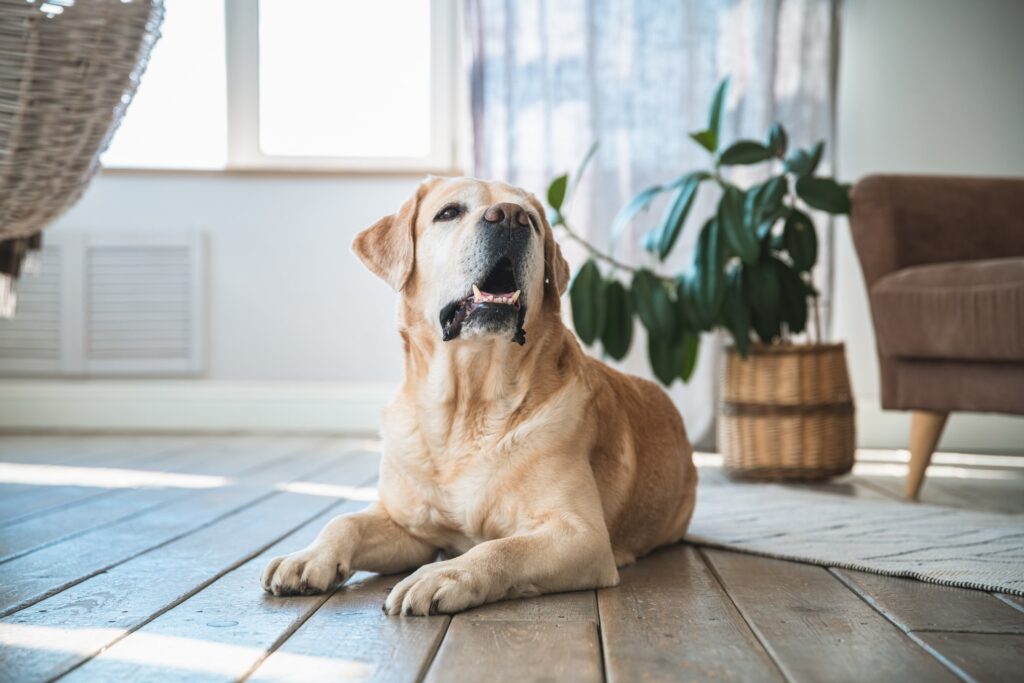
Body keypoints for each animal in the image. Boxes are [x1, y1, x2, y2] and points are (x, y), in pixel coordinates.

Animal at [260, 176, 700, 614]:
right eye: (449, 212)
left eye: (533, 221)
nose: (510, 216)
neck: (467, 403)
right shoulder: (410, 529)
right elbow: (344, 521)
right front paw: (307, 557)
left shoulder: (581, 534)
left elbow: (500, 549)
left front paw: (443, 575)